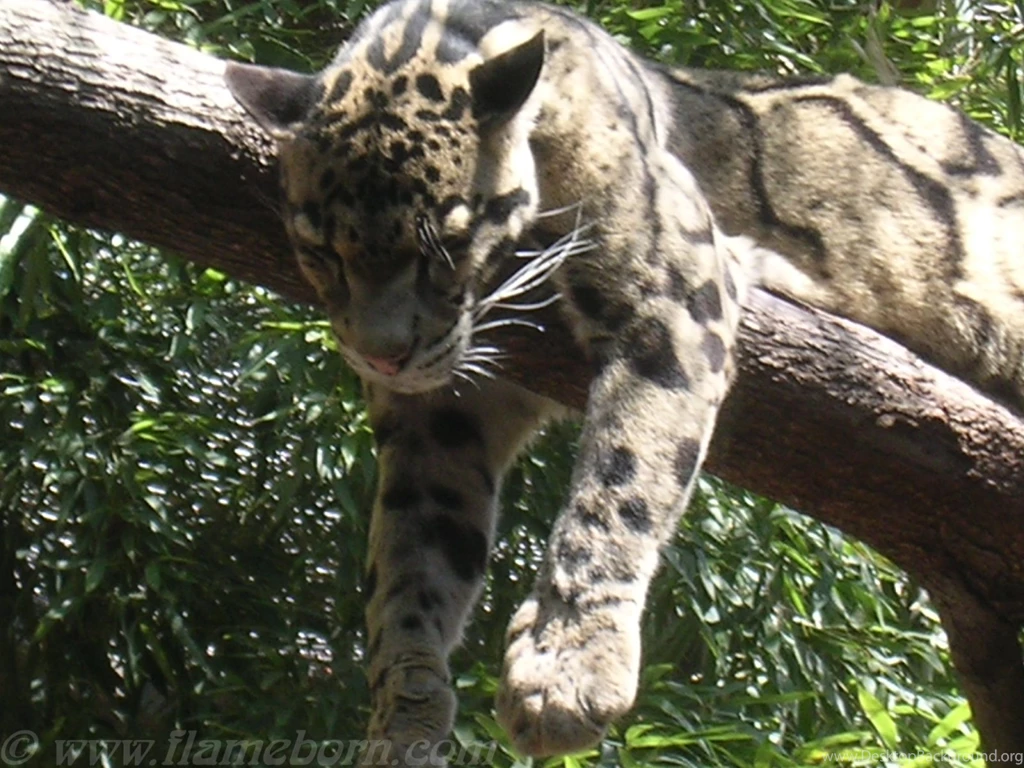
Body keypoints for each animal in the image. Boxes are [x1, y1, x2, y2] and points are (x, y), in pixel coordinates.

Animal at [224, 0, 1024, 762]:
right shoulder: (440, 414)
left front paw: (569, 667)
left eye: (446, 244)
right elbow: (409, 556)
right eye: (320, 249)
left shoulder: (670, 299)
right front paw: (405, 712)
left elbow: (623, 482)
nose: (380, 355)